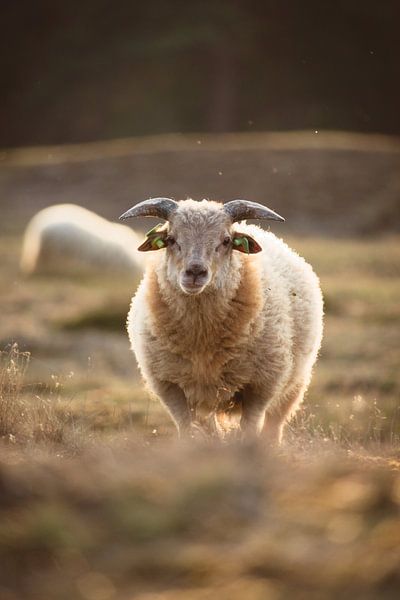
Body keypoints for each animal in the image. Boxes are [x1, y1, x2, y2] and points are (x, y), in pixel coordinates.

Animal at [120, 198, 324, 446]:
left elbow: (250, 428)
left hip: (295, 383)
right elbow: (186, 429)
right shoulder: (169, 386)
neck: (202, 339)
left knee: (274, 426)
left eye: (226, 241)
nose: (195, 272)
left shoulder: (261, 386)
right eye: (171, 239)